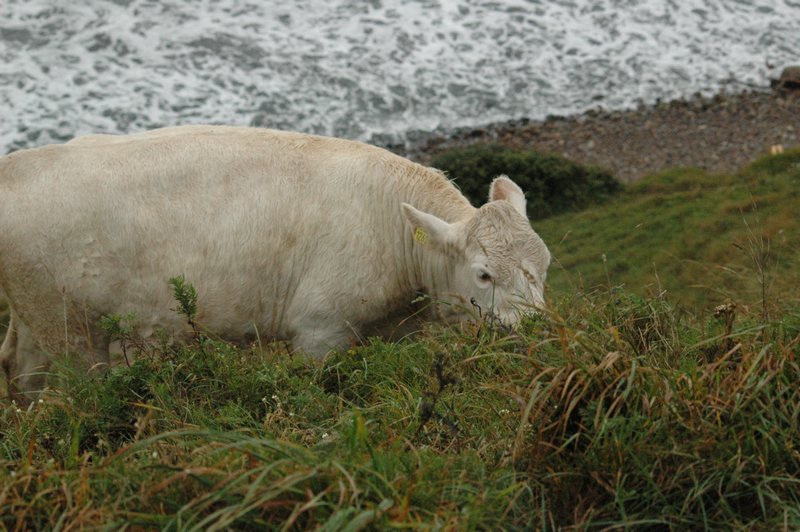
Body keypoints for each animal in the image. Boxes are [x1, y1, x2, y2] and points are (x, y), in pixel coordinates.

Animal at [0, 124, 552, 400]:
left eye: (543, 265)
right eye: (484, 273)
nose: (535, 331)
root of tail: (15, 166)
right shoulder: (319, 329)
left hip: (33, 315)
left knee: (20, 372)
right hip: (69, 328)